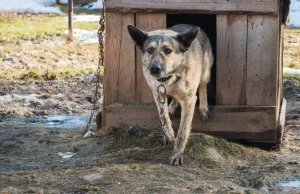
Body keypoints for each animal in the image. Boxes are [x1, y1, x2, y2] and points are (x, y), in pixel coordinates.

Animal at [126, 23, 213, 165]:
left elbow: (183, 130)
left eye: (168, 50)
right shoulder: (158, 93)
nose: (154, 68)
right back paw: (172, 107)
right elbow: (165, 118)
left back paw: (204, 108)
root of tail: (192, 25)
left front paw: (177, 154)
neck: (167, 78)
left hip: (205, 71)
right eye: (149, 50)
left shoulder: (189, 100)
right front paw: (169, 135)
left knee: (203, 87)